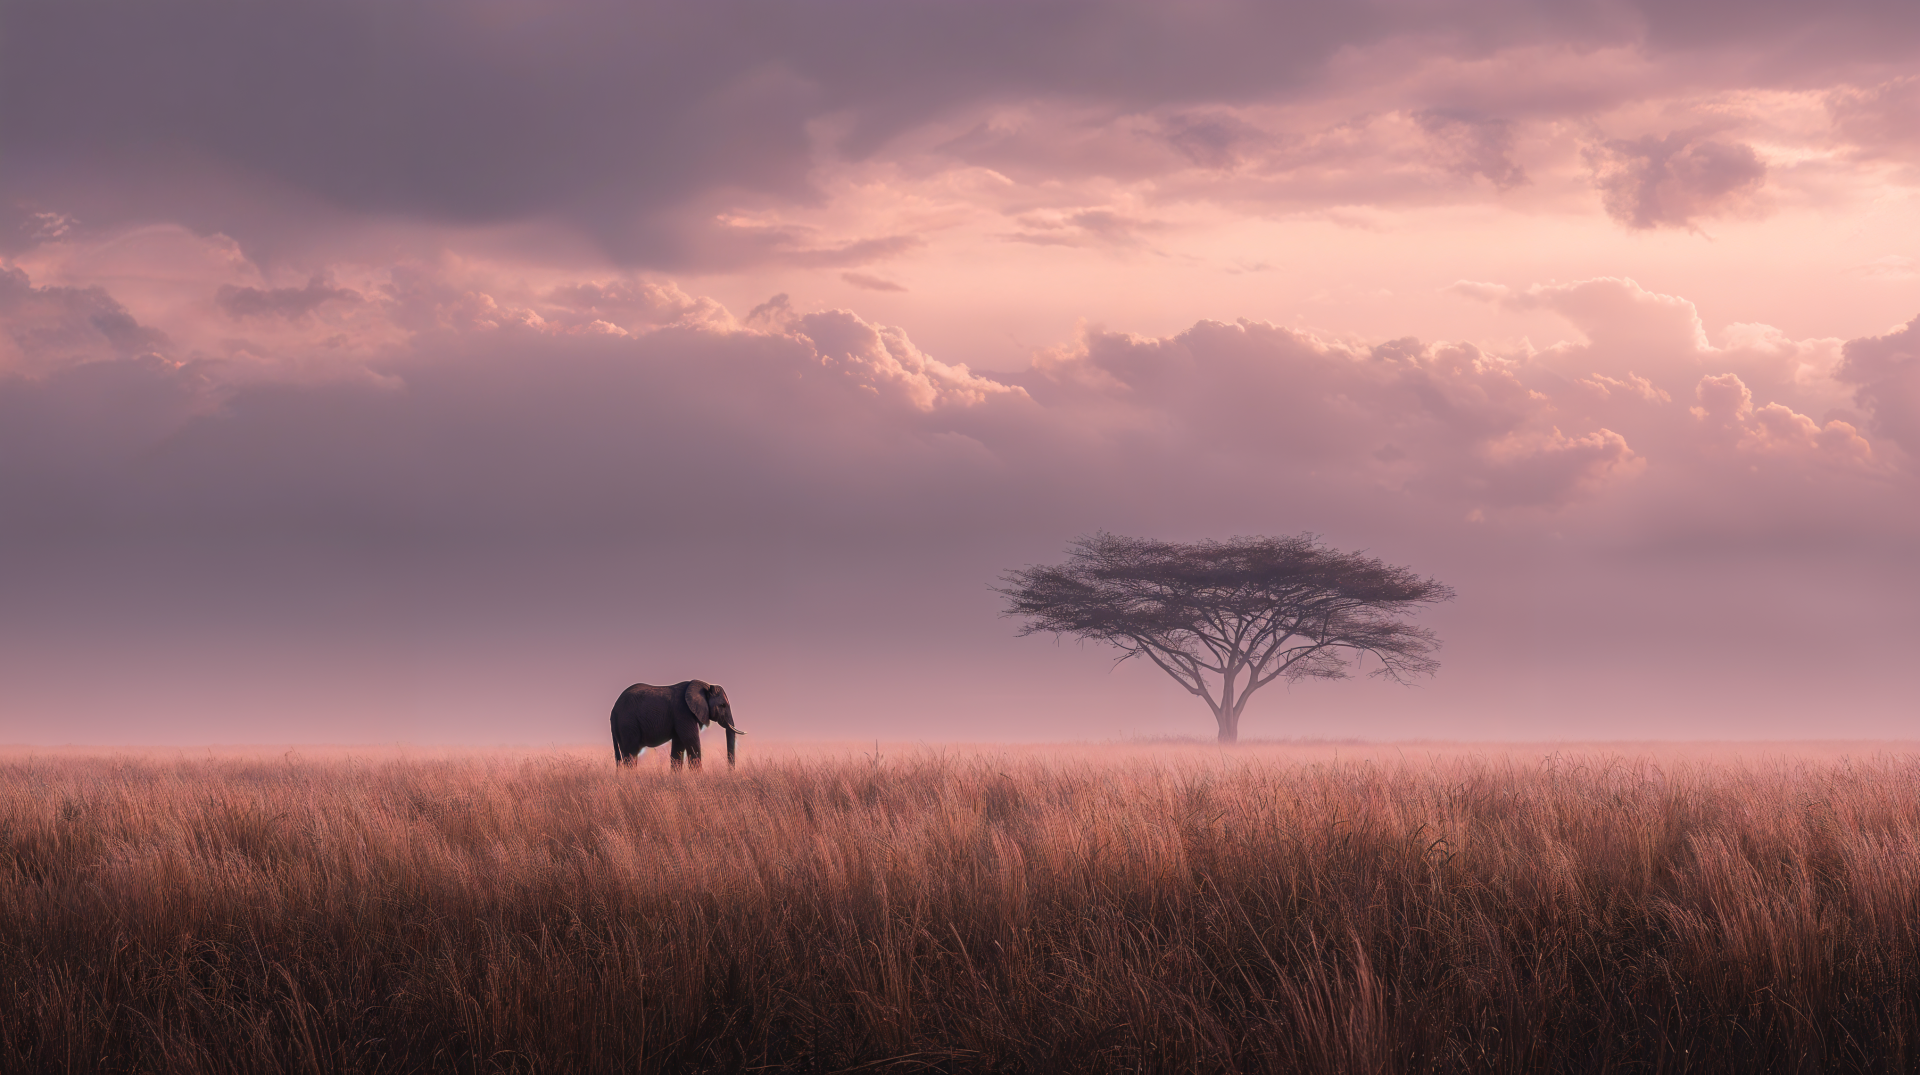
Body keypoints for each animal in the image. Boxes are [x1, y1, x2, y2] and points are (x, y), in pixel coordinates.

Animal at [611, 680, 745, 769]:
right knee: (631, 754)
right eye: (723, 705)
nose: (729, 772)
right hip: (627, 723)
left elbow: (679, 746)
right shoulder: (683, 712)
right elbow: (691, 741)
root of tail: (613, 710)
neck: (705, 685)